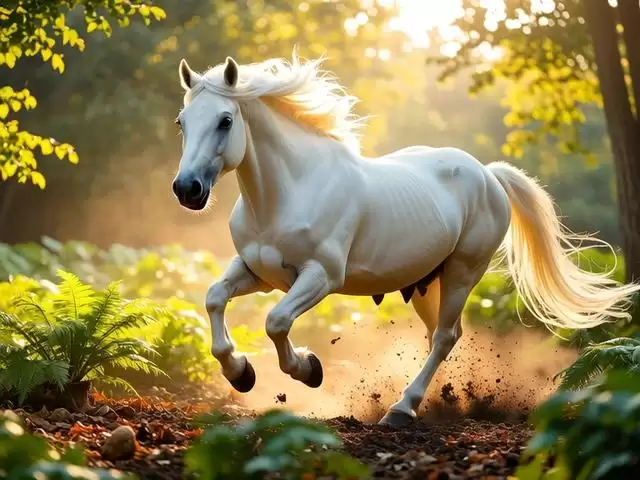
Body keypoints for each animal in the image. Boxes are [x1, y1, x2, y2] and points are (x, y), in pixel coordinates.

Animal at [170, 52, 640, 426]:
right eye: (182, 122)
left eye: (225, 121)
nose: (187, 189)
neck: (287, 193)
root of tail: (488, 174)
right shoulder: (258, 272)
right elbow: (214, 298)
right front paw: (240, 373)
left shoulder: (320, 277)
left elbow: (276, 322)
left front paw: (309, 369)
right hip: (425, 284)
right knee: (440, 337)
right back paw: (432, 401)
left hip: (464, 272)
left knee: (446, 336)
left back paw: (401, 409)